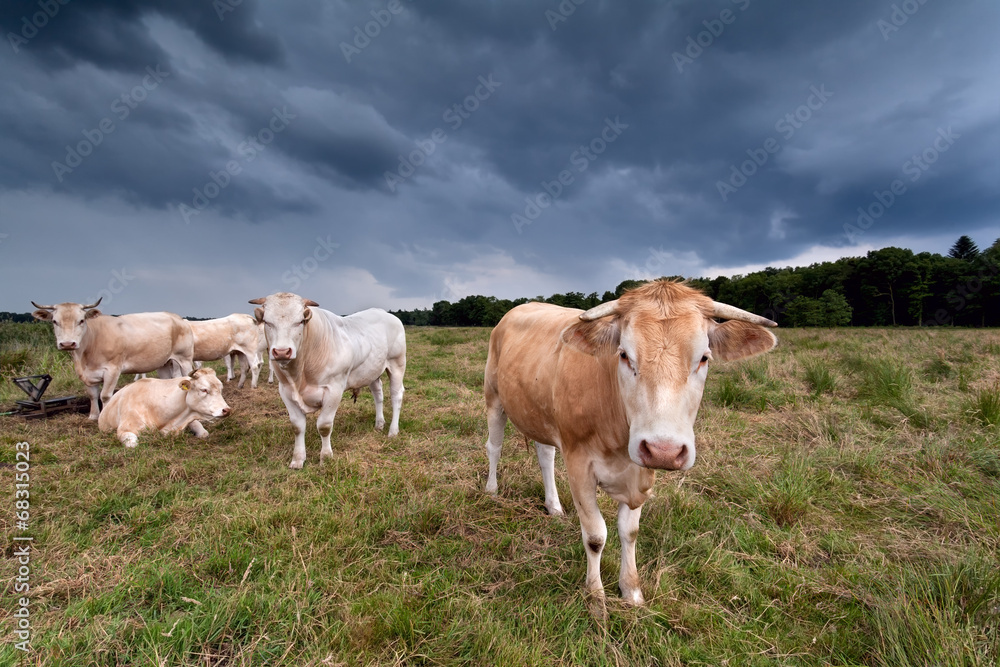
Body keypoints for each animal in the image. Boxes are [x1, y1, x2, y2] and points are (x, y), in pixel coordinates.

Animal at [30, 298, 195, 418]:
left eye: (81, 320)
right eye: (54, 321)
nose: (67, 343)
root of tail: (176, 317)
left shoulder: (112, 369)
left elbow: (105, 396)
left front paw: (103, 415)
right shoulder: (86, 375)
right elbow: (92, 395)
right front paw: (93, 416)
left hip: (185, 359)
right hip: (163, 363)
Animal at [97, 368, 230, 446]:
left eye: (221, 388)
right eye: (204, 390)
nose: (226, 410)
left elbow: (203, 433)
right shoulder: (124, 430)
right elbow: (133, 444)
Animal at [250, 292, 406, 470]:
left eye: (299, 321)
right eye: (268, 322)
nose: (282, 352)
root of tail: (384, 313)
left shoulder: (334, 390)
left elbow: (324, 426)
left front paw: (325, 457)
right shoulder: (285, 391)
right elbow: (297, 426)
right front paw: (298, 459)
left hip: (397, 364)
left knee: (396, 396)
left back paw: (393, 431)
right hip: (372, 370)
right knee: (378, 394)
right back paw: (379, 424)